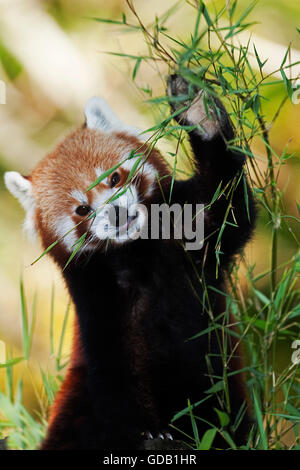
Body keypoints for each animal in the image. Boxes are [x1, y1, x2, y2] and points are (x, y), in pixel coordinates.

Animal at [4, 75, 255, 450]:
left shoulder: (191, 237)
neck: (136, 253)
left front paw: (199, 113)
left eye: (114, 178)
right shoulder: (96, 304)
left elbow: (230, 207)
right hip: (74, 402)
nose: (117, 214)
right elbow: (116, 372)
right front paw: (149, 431)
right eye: (82, 209)